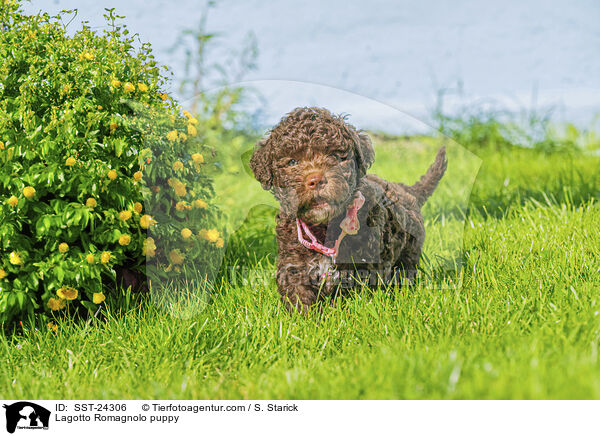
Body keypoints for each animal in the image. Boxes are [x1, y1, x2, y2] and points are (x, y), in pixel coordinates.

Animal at [248, 107, 446, 312]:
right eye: (292, 162)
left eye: (335, 156)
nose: (315, 180)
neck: (324, 227)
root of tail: (406, 190)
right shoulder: (294, 264)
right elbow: (299, 297)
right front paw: (304, 317)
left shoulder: (363, 267)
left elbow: (351, 300)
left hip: (409, 252)